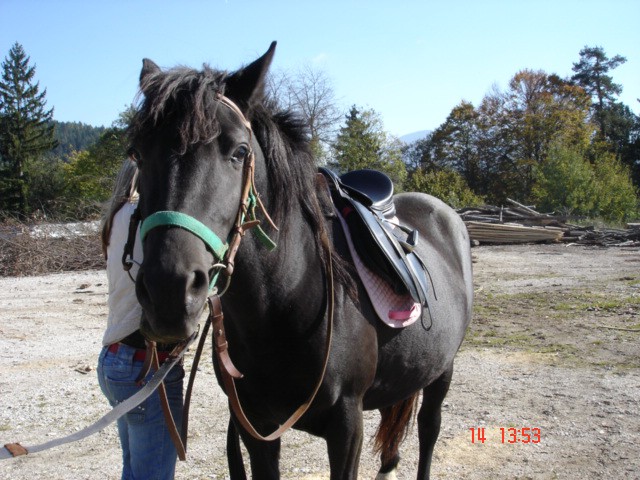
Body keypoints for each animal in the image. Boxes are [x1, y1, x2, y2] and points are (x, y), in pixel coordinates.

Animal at [126, 43, 476, 478]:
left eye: (239, 151)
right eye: (137, 153)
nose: (168, 293)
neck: (287, 298)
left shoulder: (347, 427)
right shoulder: (255, 427)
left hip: (443, 370)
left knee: (429, 429)